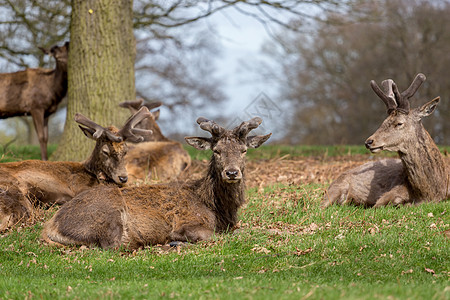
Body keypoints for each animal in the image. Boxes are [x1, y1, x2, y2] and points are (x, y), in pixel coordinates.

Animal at [41, 116, 270, 250]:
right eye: (217, 151)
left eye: (243, 150)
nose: (231, 172)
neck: (217, 208)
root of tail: (51, 225)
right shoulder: (186, 224)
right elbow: (220, 236)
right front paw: (175, 241)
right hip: (109, 215)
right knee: (112, 246)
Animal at [324, 74, 450, 207]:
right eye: (383, 121)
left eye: (399, 123)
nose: (368, 142)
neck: (430, 192)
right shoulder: (388, 195)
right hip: (334, 189)